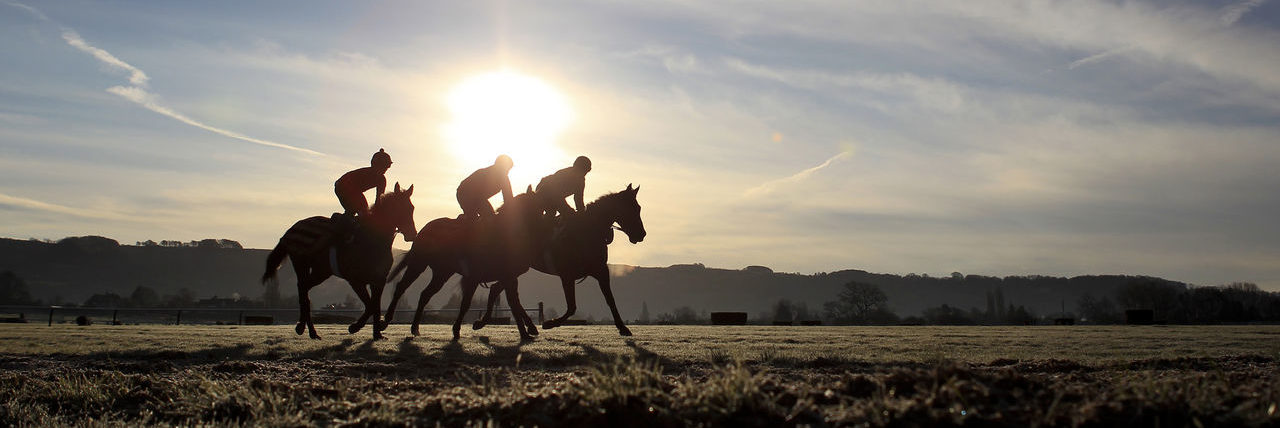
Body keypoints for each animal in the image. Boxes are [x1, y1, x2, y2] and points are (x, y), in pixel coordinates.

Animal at [261, 183, 416, 340]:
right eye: (400, 208)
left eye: (412, 208)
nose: (412, 234)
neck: (372, 239)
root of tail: (292, 229)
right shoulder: (355, 280)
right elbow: (371, 305)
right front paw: (355, 327)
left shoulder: (379, 280)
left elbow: (375, 305)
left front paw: (377, 334)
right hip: (301, 263)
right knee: (303, 290)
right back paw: (308, 329)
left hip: (320, 271)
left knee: (305, 289)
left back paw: (305, 328)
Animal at [377, 187, 549, 341]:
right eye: (537, 210)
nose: (542, 234)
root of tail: (425, 229)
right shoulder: (478, 277)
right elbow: (473, 302)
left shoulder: (507, 276)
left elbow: (507, 299)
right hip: (418, 263)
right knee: (401, 287)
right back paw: (386, 321)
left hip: (442, 272)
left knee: (425, 294)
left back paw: (415, 328)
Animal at [472, 184, 646, 336]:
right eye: (632, 209)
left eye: (638, 208)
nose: (641, 234)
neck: (588, 230)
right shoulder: (567, 275)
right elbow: (572, 307)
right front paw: (550, 323)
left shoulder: (601, 271)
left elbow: (610, 300)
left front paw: (623, 327)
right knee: (502, 292)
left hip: (518, 268)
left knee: (497, 289)